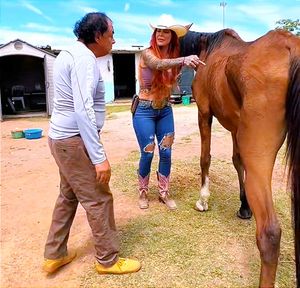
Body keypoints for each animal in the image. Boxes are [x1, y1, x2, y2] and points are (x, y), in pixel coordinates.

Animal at [180, 28, 300, 286]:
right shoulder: (235, 127)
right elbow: (237, 162)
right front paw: (244, 207)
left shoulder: (204, 112)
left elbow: (205, 157)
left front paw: (203, 200)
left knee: (270, 234)